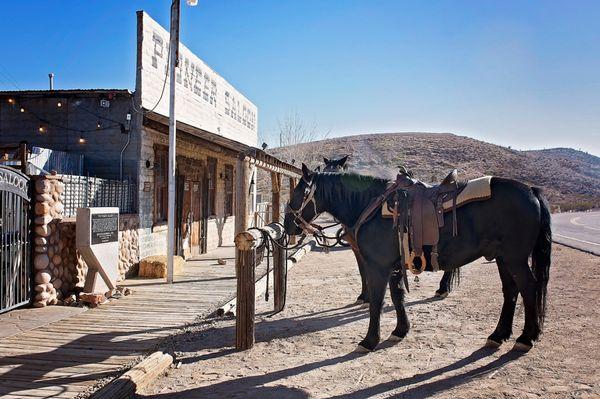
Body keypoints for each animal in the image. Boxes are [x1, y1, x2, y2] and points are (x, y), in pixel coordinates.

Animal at [324, 155, 454, 300]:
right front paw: (364, 295)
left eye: (338, 170)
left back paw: (442, 289)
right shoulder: (356, 248)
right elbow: (362, 271)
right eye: (324, 169)